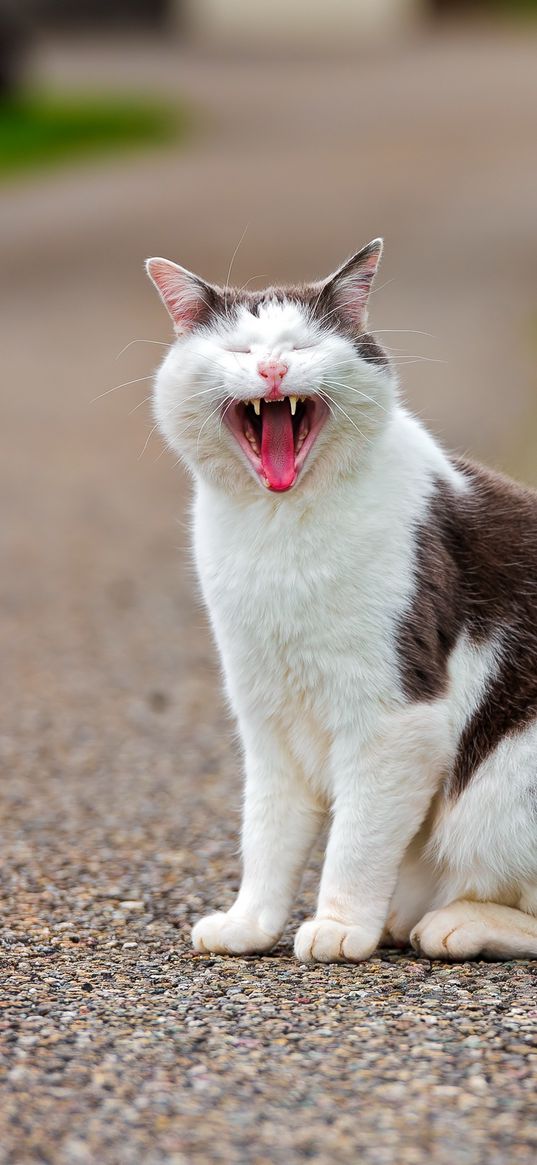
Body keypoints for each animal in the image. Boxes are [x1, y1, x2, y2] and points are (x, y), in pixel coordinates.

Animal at [144, 241, 535, 959]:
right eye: (240, 349)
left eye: (301, 344)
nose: (272, 368)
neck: (279, 534)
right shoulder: (265, 715)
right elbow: (266, 831)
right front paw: (249, 922)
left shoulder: (395, 720)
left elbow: (356, 840)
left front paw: (339, 925)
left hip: (508, 779)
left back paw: (454, 923)